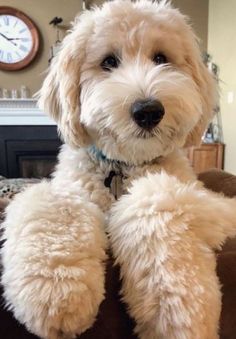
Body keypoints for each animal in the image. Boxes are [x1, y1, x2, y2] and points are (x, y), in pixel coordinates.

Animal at [1, 0, 236, 339]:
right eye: (108, 62)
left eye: (161, 58)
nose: (148, 110)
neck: (123, 168)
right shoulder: (70, 189)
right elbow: (56, 204)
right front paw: (57, 291)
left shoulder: (215, 205)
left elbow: (154, 202)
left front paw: (175, 307)